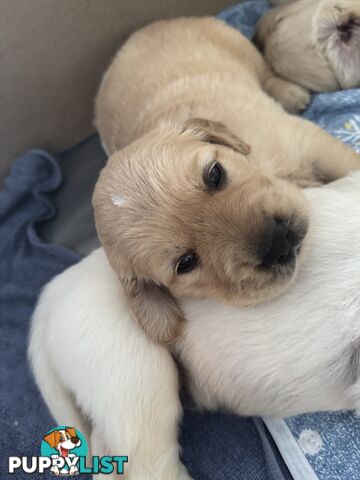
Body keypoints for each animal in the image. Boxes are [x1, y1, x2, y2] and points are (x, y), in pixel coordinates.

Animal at [93, 15, 360, 344]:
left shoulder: (308, 141)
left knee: (265, 71)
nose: (276, 242)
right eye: (185, 263)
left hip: (240, 48)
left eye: (215, 173)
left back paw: (290, 92)